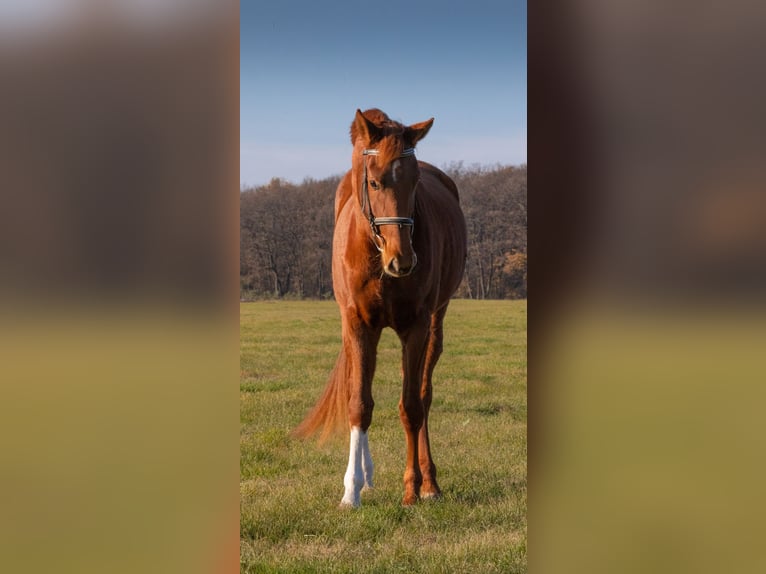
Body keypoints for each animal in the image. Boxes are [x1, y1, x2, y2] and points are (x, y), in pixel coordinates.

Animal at [294, 108, 467, 507]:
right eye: (374, 182)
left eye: (416, 183)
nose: (402, 260)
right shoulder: (358, 326)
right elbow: (359, 404)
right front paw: (351, 489)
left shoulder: (417, 327)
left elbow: (412, 406)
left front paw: (413, 487)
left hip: (435, 324)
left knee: (423, 396)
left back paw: (430, 482)